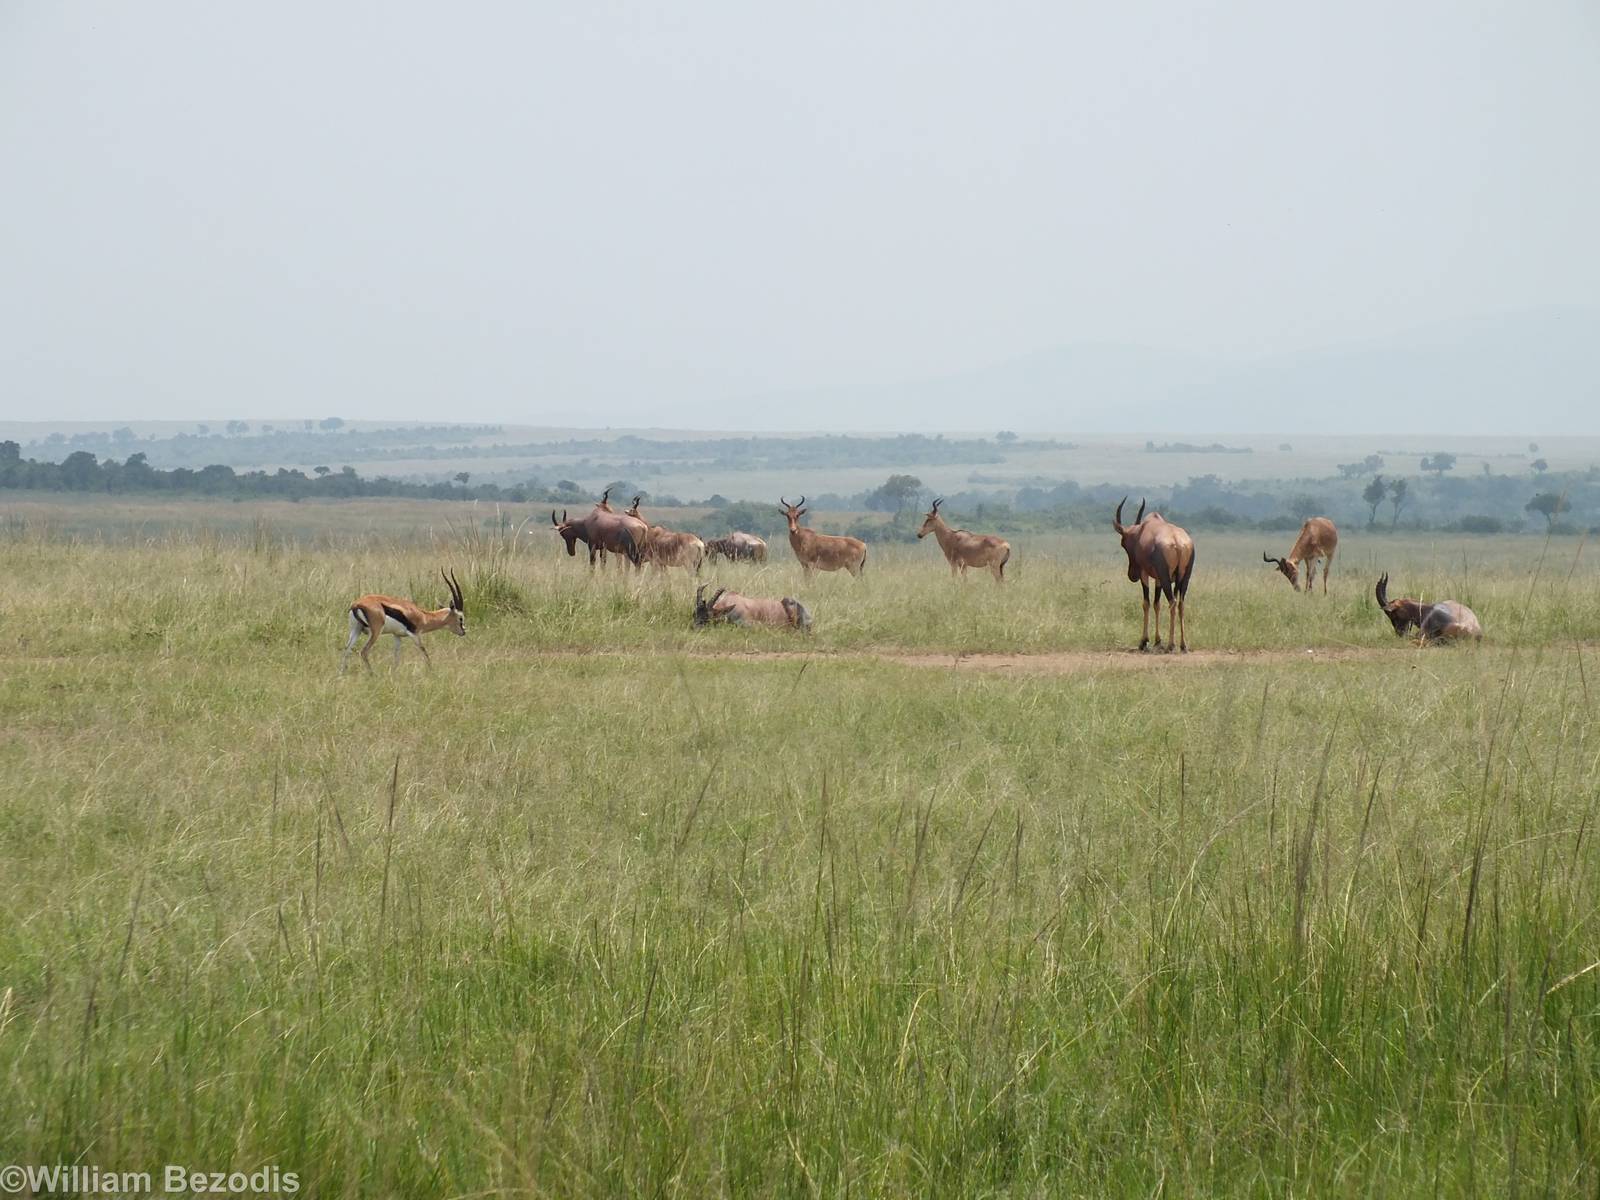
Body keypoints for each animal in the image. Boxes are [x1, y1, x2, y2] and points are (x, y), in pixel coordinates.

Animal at [1112, 497, 1195, 652]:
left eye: (1123, 543)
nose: (1132, 575)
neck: (1144, 529)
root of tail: (1178, 542)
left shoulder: (1145, 574)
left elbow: (1146, 603)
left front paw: (1144, 642)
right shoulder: (1158, 579)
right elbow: (1157, 604)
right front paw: (1157, 641)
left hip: (1166, 577)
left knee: (1172, 602)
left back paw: (1171, 645)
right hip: (1184, 577)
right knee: (1181, 603)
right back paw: (1183, 645)